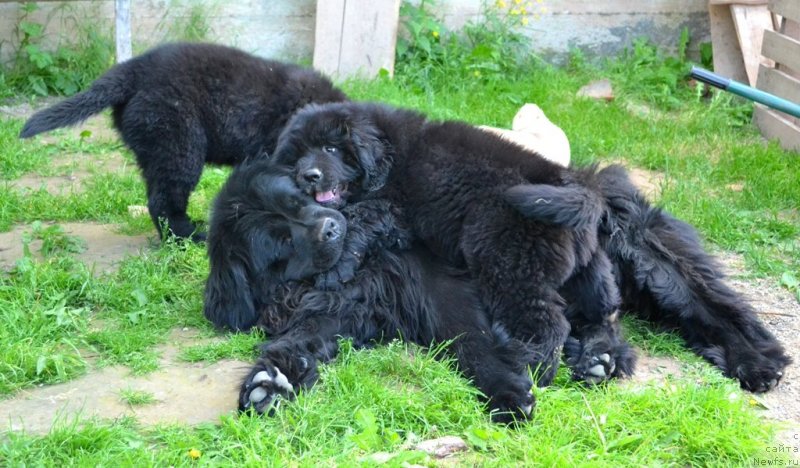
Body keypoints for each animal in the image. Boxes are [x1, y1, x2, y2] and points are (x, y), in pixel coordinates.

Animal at [203, 159, 536, 422]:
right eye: (284, 241)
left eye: (297, 202)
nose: (330, 228)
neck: (360, 272)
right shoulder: (335, 307)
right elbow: (302, 336)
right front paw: (271, 382)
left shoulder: (435, 283)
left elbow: (471, 338)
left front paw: (507, 391)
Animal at [266, 102, 792, 406]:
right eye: (298, 155)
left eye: (334, 148)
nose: (310, 176)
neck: (391, 153)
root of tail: (584, 191)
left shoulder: (389, 204)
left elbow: (356, 223)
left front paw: (333, 266)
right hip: (590, 272)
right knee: (603, 318)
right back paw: (596, 360)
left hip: (525, 258)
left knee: (712, 307)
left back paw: (760, 362)